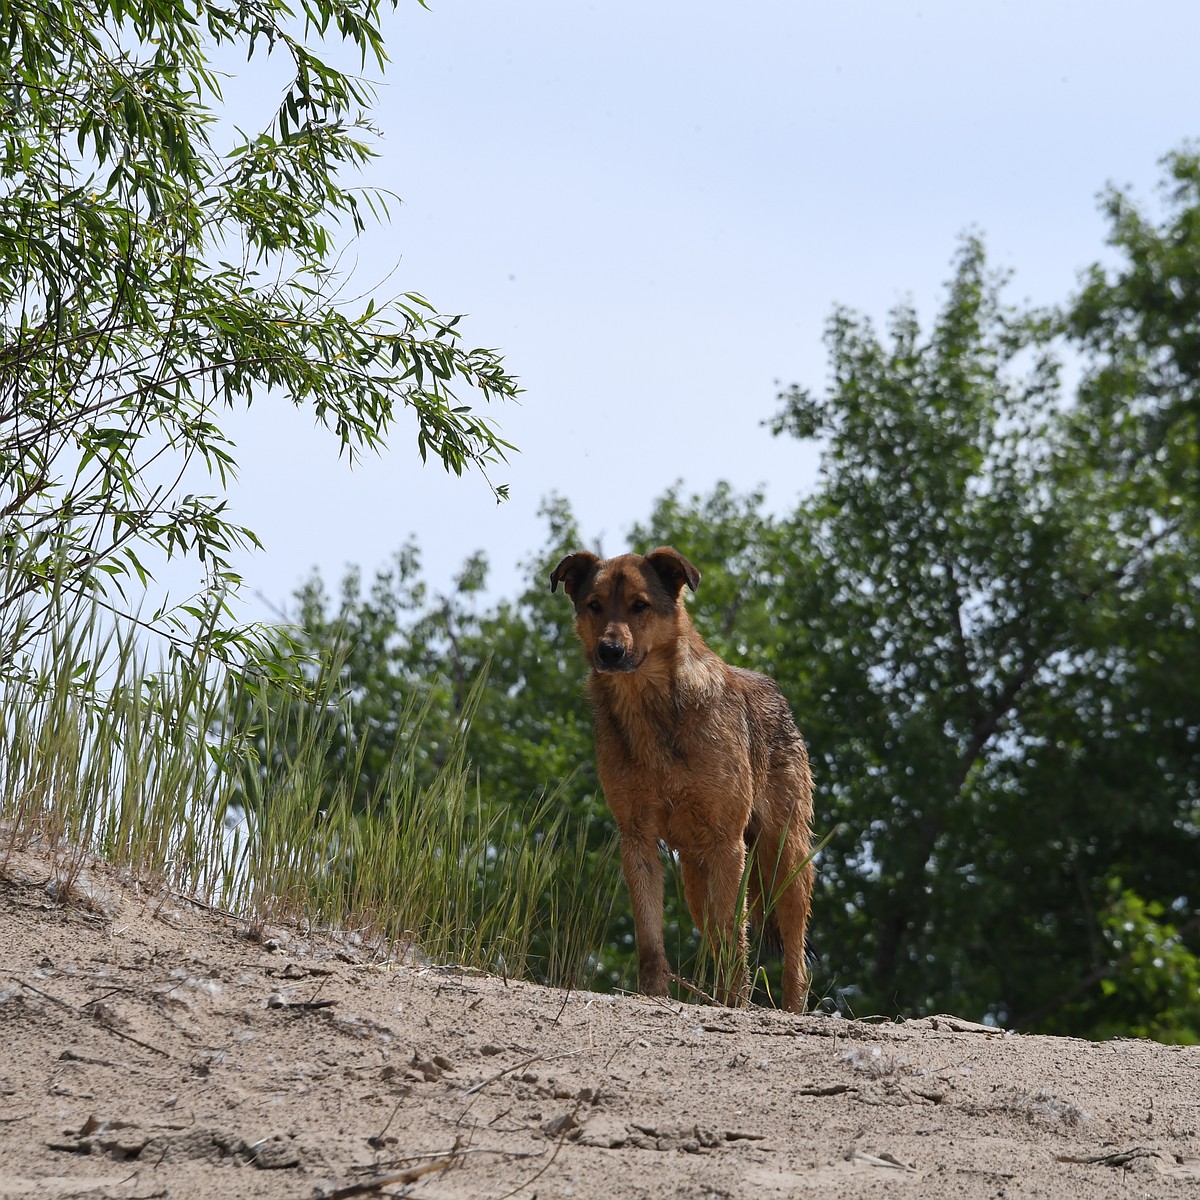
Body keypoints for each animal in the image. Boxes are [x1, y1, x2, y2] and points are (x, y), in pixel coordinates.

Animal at [552, 547, 816, 1012]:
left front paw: (734, 1003)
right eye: (594, 605)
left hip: (784, 857)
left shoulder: (728, 843)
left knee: (794, 959)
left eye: (640, 605)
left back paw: (788, 1010)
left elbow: (733, 938)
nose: (609, 651)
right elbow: (650, 940)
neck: (650, 709)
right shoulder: (637, 839)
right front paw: (654, 996)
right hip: (696, 877)